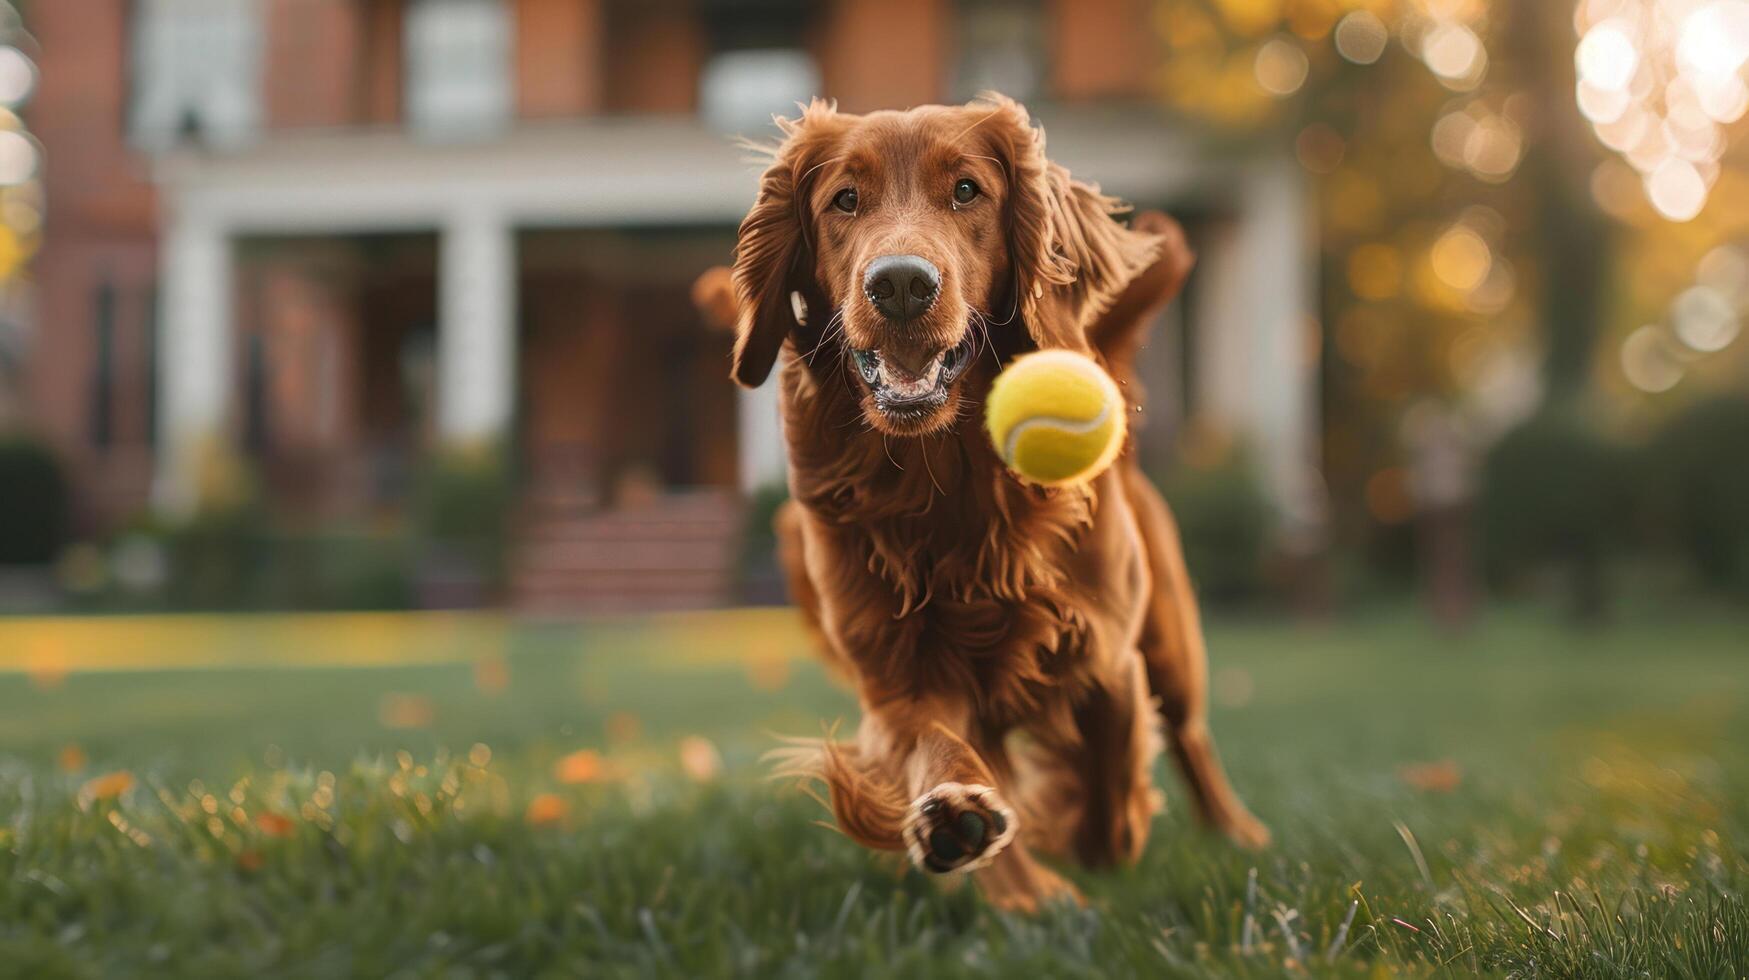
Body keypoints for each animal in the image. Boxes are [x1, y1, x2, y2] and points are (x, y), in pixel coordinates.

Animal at [727, 93, 1273, 910]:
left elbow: (1112, 789)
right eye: (844, 200)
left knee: (1191, 733)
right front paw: (979, 842)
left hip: (1172, 640)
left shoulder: (1107, 654)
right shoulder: (899, 676)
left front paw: (1089, 844)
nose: (900, 285)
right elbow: (938, 748)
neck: (948, 486)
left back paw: (1234, 833)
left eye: (966, 191)